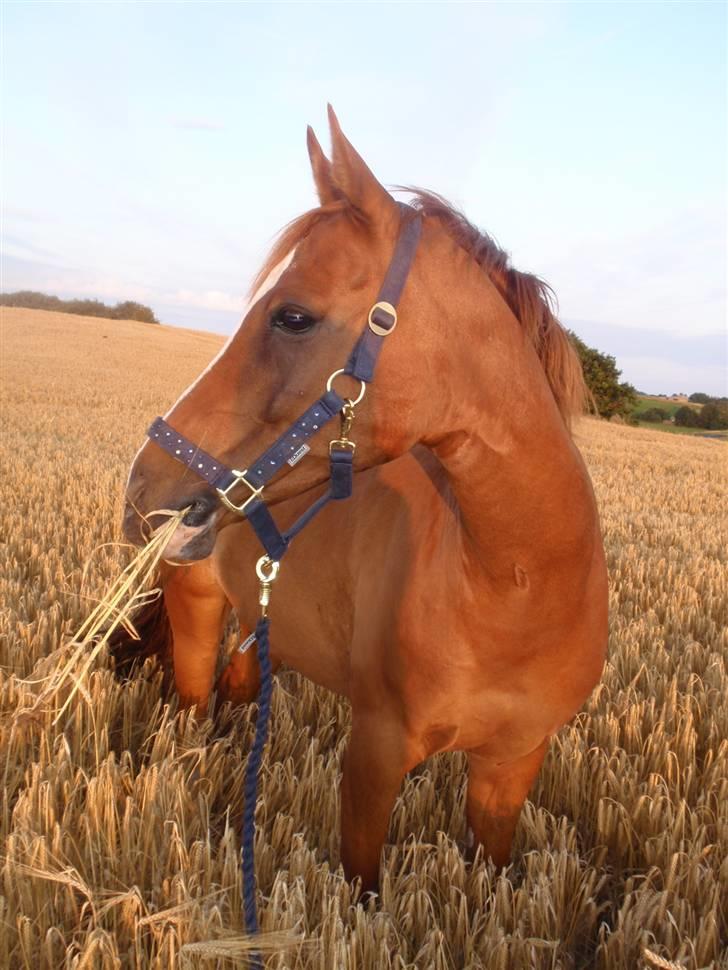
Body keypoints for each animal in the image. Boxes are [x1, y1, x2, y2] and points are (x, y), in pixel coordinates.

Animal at [121, 109, 608, 888]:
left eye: (292, 316)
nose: (144, 491)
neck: (516, 588)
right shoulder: (374, 756)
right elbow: (361, 888)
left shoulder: (510, 768)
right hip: (195, 611)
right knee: (195, 705)